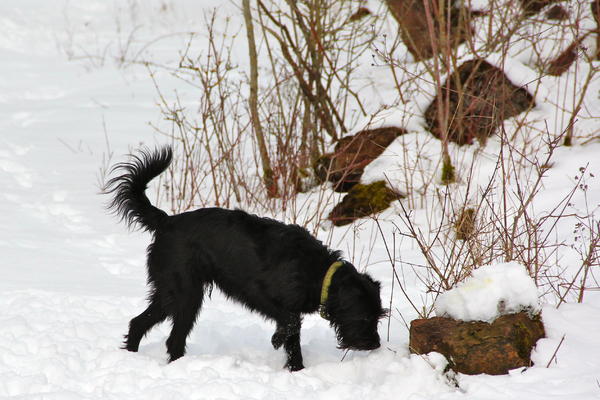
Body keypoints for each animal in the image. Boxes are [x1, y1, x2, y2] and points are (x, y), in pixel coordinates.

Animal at [104, 147, 384, 372]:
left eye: (379, 316)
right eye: (365, 317)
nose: (375, 344)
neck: (317, 272)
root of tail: (166, 221)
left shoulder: (289, 305)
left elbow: (294, 339)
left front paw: (297, 371)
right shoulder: (258, 293)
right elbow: (290, 323)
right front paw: (277, 341)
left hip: (170, 294)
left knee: (139, 323)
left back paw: (135, 357)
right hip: (185, 294)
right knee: (172, 337)